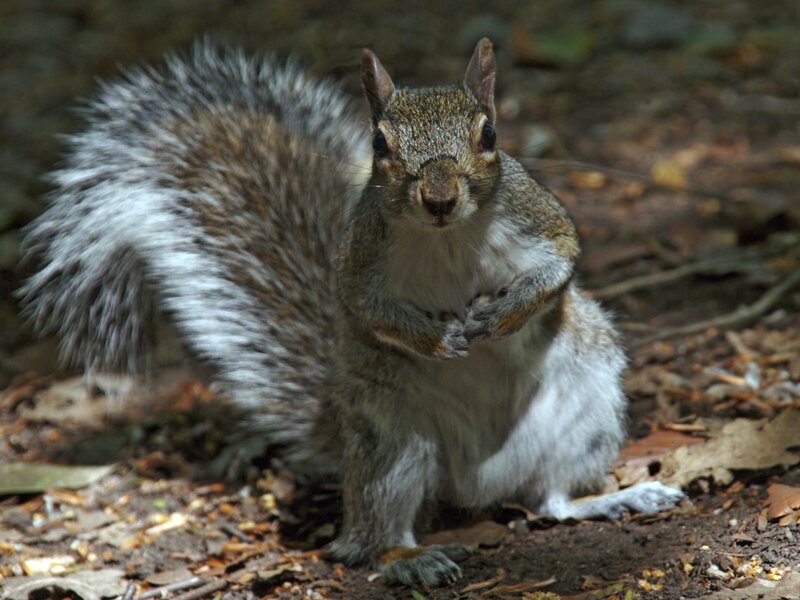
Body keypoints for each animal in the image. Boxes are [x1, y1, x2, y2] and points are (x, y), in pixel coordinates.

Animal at [19, 39, 685, 586]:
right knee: (368, 539)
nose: (439, 198)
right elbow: (366, 310)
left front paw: (500, 315)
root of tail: (476, 486)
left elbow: (560, 263)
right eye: (379, 143)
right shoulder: (358, 264)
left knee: (550, 501)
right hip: (393, 443)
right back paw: (410, 559)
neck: (447, 236)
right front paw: (437, 339)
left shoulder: (540, 219)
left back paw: (612, 499)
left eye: (490, 135)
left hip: (583, 408)